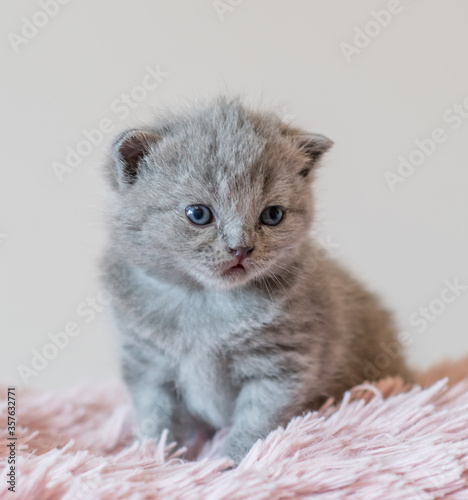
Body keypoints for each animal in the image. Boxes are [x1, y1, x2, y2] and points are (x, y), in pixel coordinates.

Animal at [100, 95, 412, 462]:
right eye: (198, 214)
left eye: (272, 215)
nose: (241, 248)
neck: (205, 303)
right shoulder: (147, 364)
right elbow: (155, 420)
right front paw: (154, 458)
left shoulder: (281, 365)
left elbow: (254, 423)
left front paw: (228, 464)